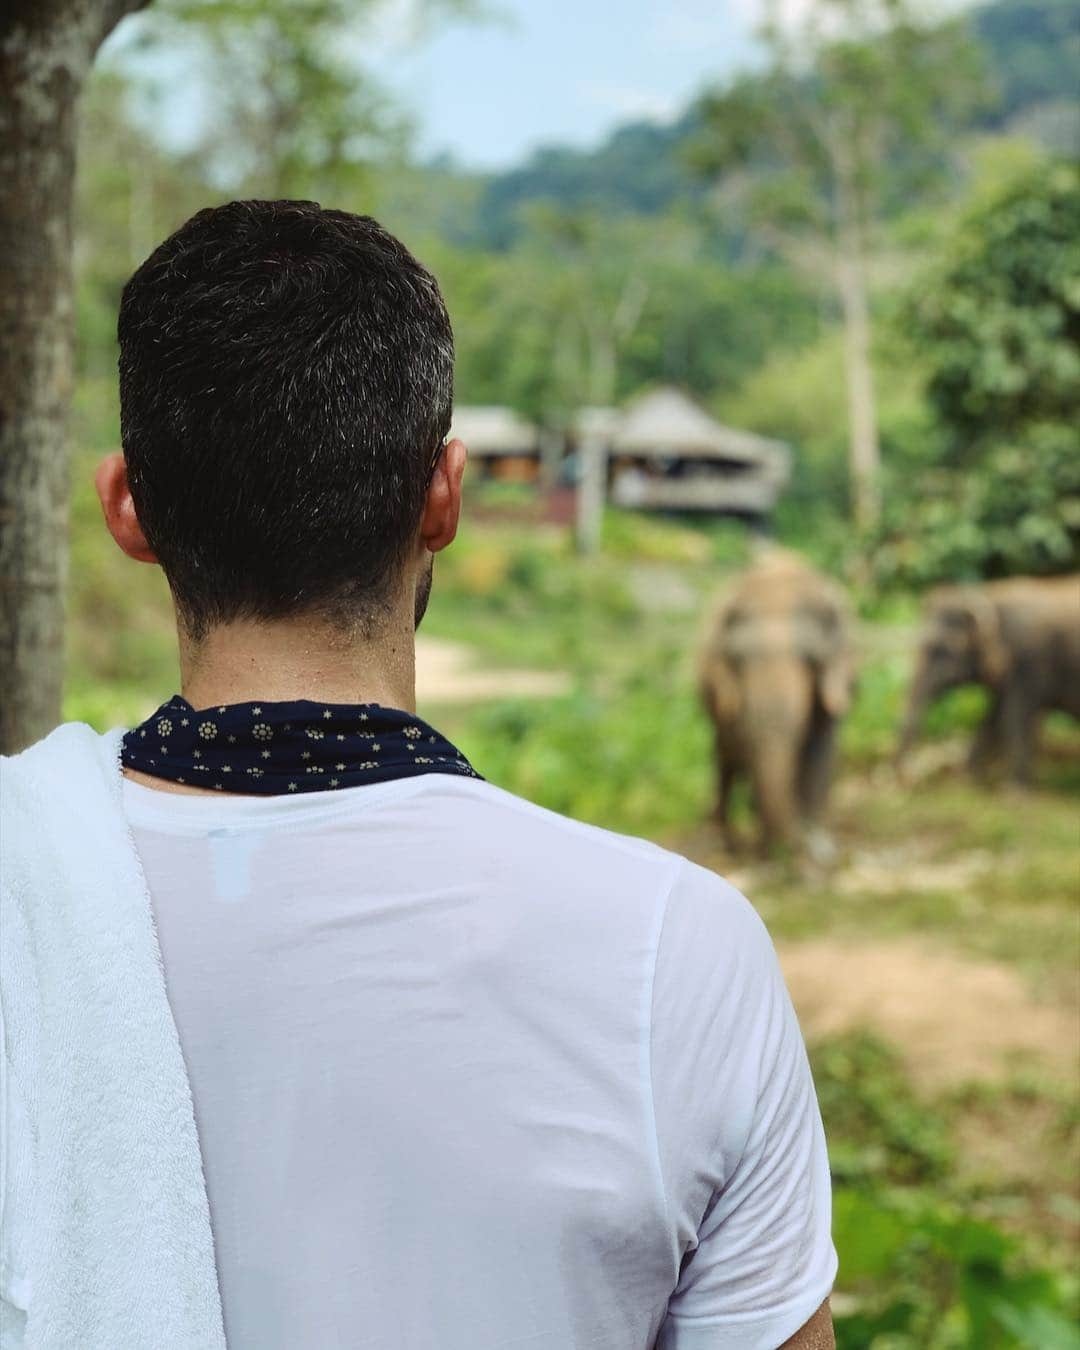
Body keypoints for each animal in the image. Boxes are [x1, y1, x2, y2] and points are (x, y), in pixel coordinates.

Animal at [696, 550, 858, 853]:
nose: (790, 845)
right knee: (725, 758)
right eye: (739, 659)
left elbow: (819, 749)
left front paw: (816, 843)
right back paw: (724, 838)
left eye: (811, 659)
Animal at [896, 575, 1080, 788]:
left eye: (944, 649)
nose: (910, 780)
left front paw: (1014, 789)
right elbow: (992, 718)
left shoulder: (1029, 663)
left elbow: (1013, 716)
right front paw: (968, 781)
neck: (990, 593)